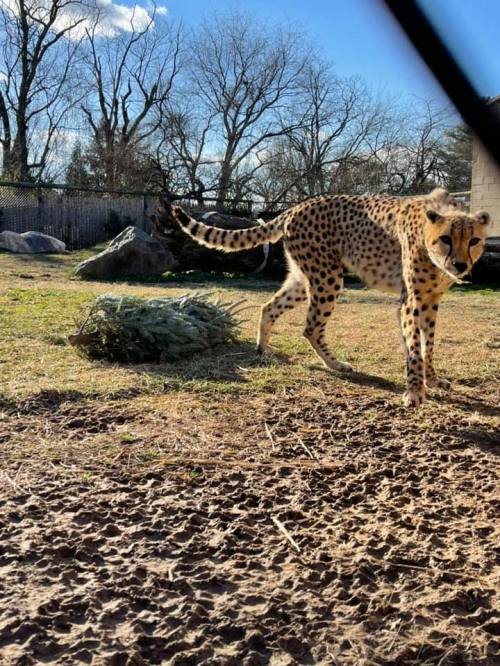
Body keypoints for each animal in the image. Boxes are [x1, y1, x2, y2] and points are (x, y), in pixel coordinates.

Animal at [160, 189, 489, 407]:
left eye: (474, 240)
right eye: (445, 239)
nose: (460, 265)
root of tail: (297, 206)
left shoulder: (431, 301)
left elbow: (428, 344)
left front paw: (432, 379)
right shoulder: (411, 301)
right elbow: (414, 349)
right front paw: (415, 391)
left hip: (303, 278)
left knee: (270, 307)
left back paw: (263, 349)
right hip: (327, 277)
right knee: (311, 327)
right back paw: (336, 364)